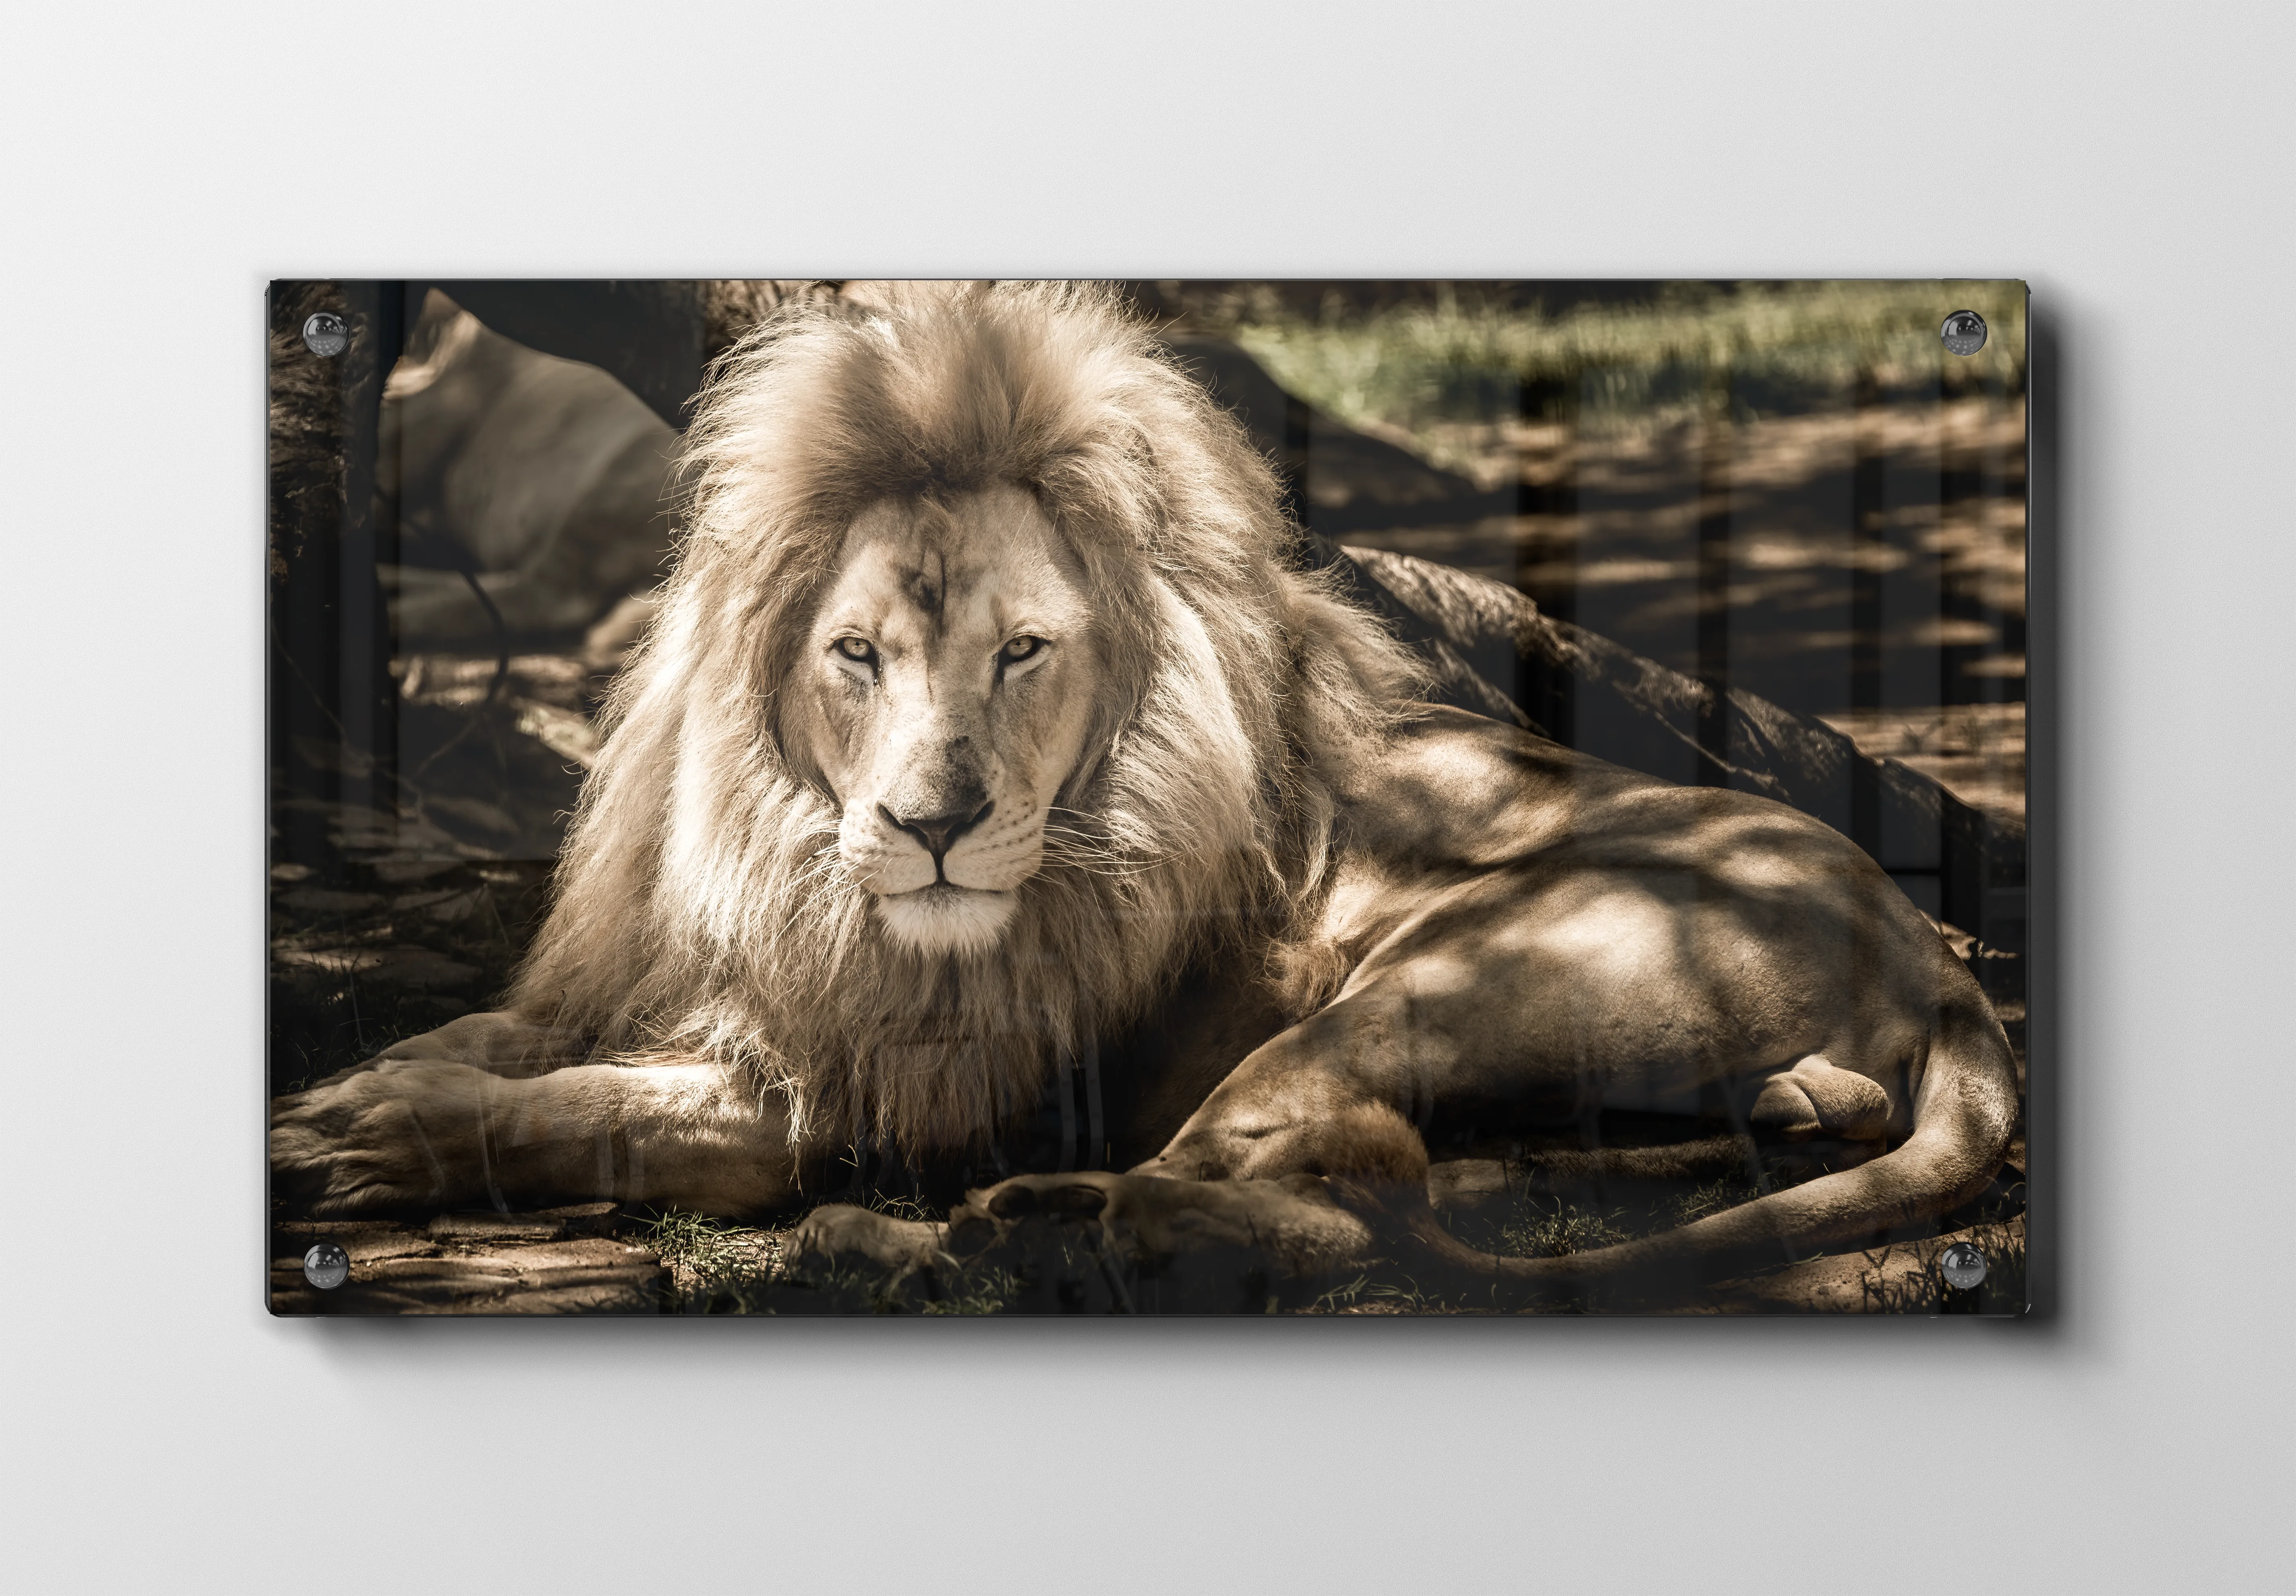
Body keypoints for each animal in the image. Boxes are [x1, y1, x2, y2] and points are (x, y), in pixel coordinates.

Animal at [270, 280, 2018, 1308]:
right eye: (856, 654)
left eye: (1026, 651)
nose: (934, 827)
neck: (791, 860)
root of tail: (1929, 954)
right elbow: (507, 1039)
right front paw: (380, 1081)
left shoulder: (873, 1089)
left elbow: (614, 1118)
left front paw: (363, 1137)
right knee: (1412, 1184)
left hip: (1429, 983)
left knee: (1300, 1208)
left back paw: (954, 1234)